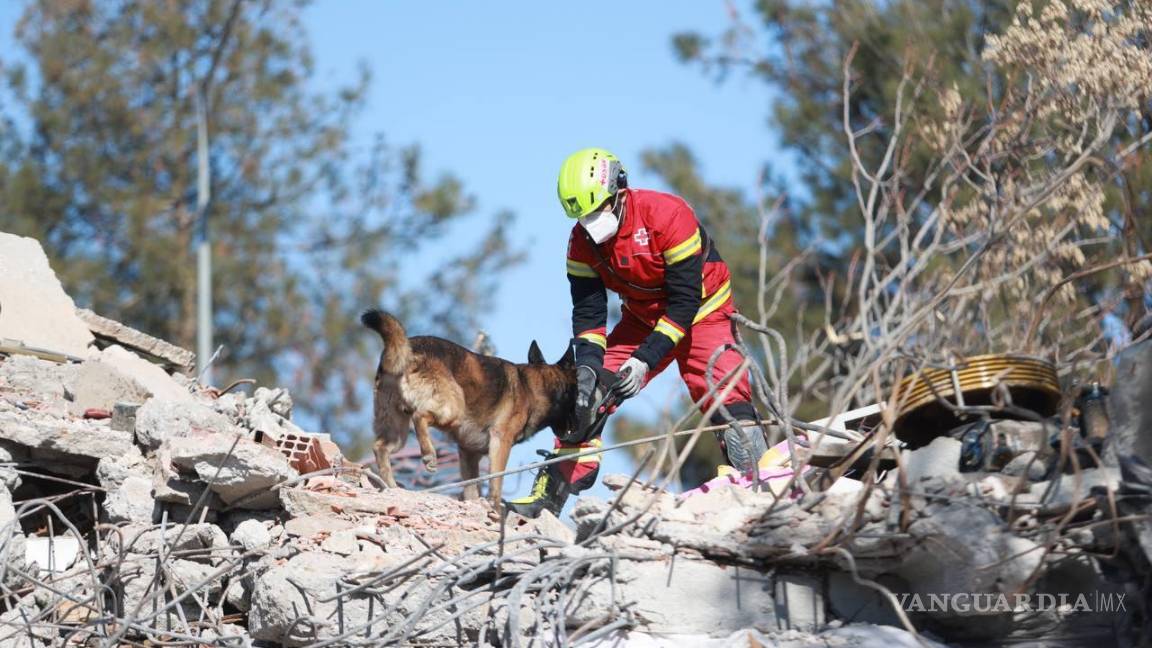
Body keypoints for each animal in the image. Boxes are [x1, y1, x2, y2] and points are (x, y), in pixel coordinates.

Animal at [359, 309, 576, 505]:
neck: (535, 385)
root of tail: (409, 347)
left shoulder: (469, 453)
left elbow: (472, 488)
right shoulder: (501, 441)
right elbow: (496, 482)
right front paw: (495, 509)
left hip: (397, 432)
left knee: (380, 447)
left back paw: (391, 487)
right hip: (453, 410)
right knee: (420, 416)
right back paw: (429, 455)